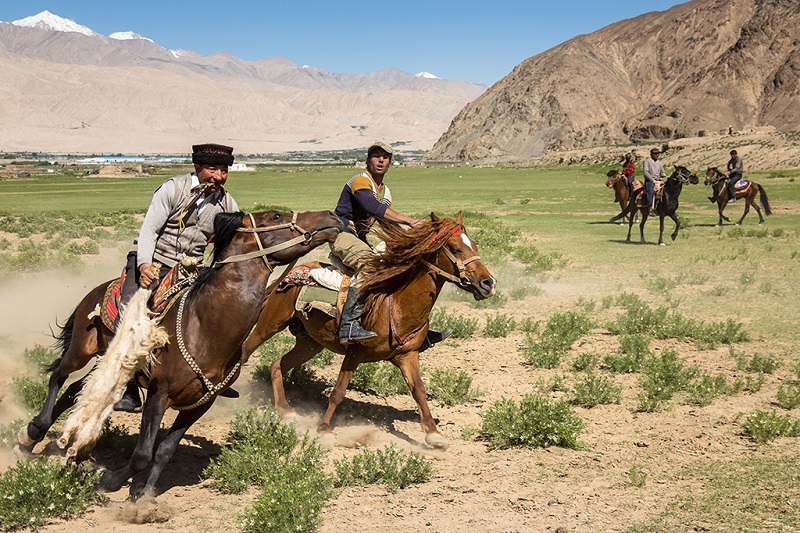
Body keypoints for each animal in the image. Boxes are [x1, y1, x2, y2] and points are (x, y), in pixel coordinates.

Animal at [15, 209, 340, 498]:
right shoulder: (158, 395)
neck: (206, 327)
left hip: (109, 364)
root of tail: (98, 290)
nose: (332, 216)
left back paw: (40, 438)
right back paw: (32, 432)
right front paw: (110, 481)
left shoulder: (200, 404)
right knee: (58, 376)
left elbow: (164, 451)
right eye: (276, 216)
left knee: (75, 389)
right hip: (82, 350)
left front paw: (143, 496)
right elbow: (143, 454)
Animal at [241, 212, 496, 448]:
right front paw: (324, 430)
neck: (397, 303)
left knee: (276, 365)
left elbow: (419, 391)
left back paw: (286, 411)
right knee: (245, 351)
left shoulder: (408, 356)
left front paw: (433, 434)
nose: (488, 283)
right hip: (270, 324)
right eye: (455, 248)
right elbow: (338, 392)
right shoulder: (354, 353)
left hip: (310, 343)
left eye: (474, 245)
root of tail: (291, 274)